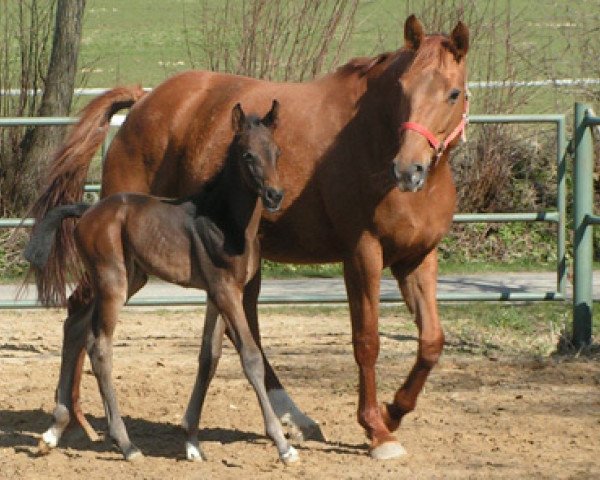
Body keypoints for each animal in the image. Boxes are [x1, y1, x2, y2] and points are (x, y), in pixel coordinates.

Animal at [25, 100, 298, 462]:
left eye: (277, 152)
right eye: (247, 155)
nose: (274, 195)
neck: (225, 221)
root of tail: (88, 210)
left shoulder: (216, 293)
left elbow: (209, 358)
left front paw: (192, 442)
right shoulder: (228, 291)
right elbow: (250, 357)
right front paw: (284, 445)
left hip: (131, 278)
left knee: (75, 326)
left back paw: (54, 432)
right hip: (113, 282)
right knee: (99, 345)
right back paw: (126, 444)